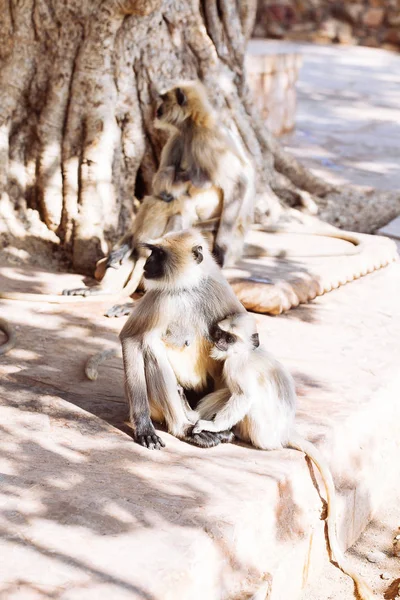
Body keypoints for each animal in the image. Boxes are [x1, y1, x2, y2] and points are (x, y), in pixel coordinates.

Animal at [118, 230, 247, 450]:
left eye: (160, 254)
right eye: (153, 252)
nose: (148, 261)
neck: (188, 288)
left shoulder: (219, 289)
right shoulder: (159, 298)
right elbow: (131, 339)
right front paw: (144, 427)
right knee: (150, 345)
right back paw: (184, 427)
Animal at [194, 312, 376, 600]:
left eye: (229, 338)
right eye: (221, 334)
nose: (220, 342)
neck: (248, 353)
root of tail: (285, 431)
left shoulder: (236, 365)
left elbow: (242, 397)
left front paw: (210, 427)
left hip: (261, 432)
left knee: (243, 399)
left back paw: (228, 433)